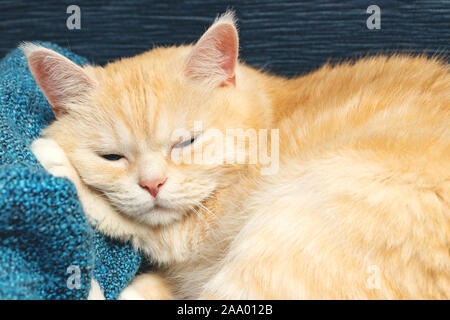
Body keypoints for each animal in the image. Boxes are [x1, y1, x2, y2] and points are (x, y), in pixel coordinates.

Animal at [25, 10, 450, 300]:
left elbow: (139, 223)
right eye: (112, 156)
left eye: (186, 142)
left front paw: (55, 160)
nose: (152, 184)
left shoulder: (203, 227)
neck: (271, 120)